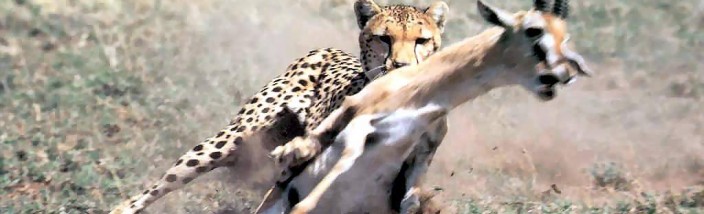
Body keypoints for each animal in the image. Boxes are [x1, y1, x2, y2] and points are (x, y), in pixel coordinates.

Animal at [110, 0, 452, 213]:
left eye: (421, 40)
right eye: (384, 38)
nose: (401, 65)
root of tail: (322, 50)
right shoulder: (299, 171)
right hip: (227, 141)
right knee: (149, 192)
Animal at [266, 0, 592, 213]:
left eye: (564, 37)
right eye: (533, 31)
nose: (563, 75)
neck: (417, 100)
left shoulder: (415, 162)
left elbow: (409, 201)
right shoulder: (354, 137)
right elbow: (305, 198)